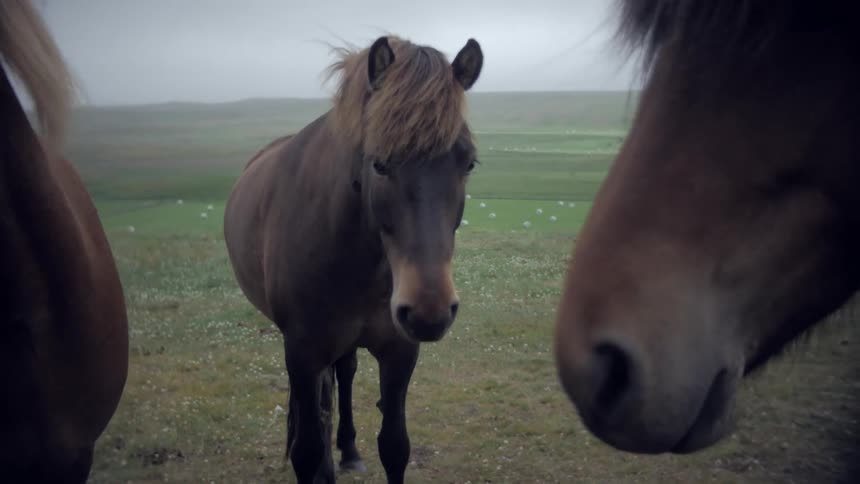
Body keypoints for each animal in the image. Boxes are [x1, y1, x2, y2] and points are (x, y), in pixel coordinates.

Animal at [223, 35, 483, 483]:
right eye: (379, 163)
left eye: (467, 162)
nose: (428, 311)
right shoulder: (302, 351)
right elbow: (307, 449)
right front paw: (319, 461)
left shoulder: (400, 351)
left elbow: (395, 446)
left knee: (343, 374)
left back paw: (346, 450)